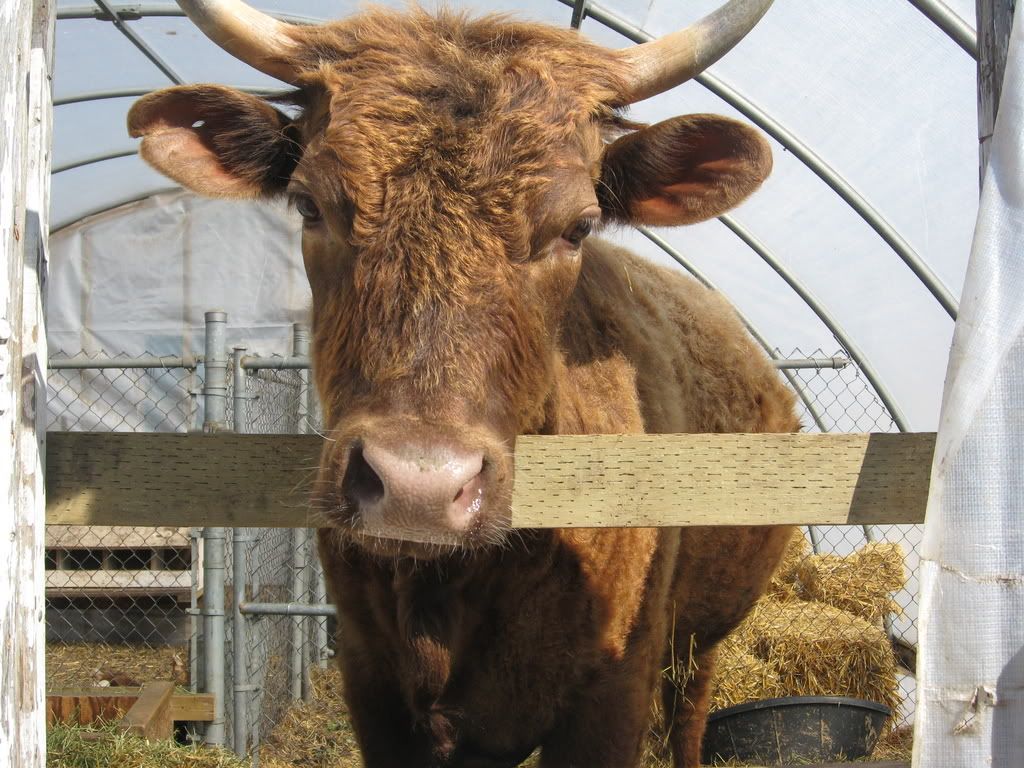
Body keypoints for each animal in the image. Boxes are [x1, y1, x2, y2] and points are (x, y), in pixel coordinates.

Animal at [127, 1, 799, 765]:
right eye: (308, 203)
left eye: (579, 226)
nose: (417, 487)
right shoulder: (375, 689)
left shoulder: (614, 689)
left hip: (699, 640)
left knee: (688, 709)